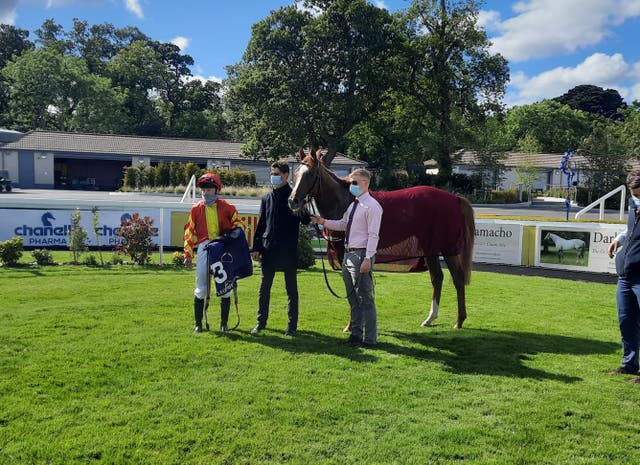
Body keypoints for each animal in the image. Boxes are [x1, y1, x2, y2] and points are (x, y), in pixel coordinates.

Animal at [286, 148, 476, 326]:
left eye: (310, 174)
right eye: (296, 173)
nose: (293, 201)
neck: (348, 201)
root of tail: (455, 198)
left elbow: (353, 288)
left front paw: (351, 325)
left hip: (448, 249)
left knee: (457, 279)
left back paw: (459, 321)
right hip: (431, 249)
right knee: (437, 278)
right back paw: (430, 319)